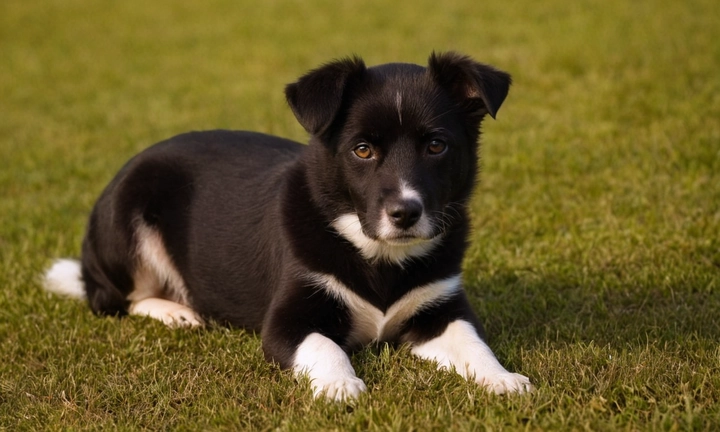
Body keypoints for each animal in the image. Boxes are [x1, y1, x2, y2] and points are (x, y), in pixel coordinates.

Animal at [42, 52, 532, 400]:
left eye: (436, 146)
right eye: (362, 149)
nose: (405, 213)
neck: (376, 254)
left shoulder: (441, 309)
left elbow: (473, 342)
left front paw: (503, 378)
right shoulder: (286, 323)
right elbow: (324, 346)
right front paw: (340, 385)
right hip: (129, 217)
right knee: (114, 298)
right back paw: (174, 311)